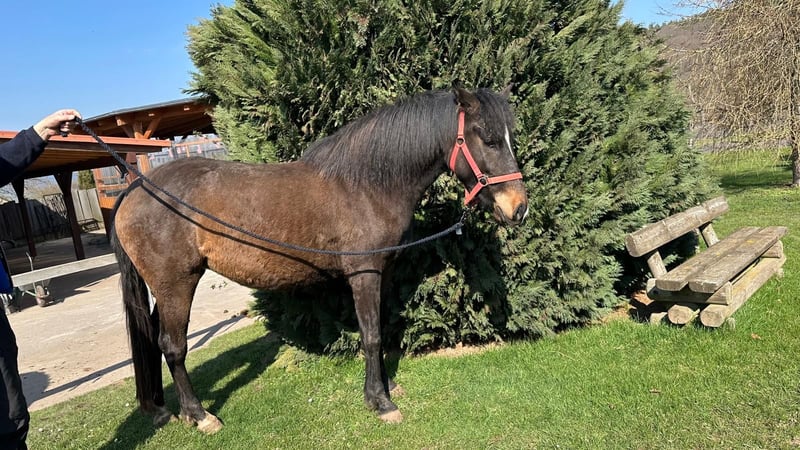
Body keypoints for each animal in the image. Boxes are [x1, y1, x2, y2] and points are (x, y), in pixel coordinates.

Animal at [110, 86, 528, 434]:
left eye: (509, 136)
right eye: (488, 138)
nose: (519, 208)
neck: (367, 185)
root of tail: (135, 187)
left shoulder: (383, 273)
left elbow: (380, 329)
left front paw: (386, 385)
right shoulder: (364, 274)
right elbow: (372, 335)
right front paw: (380, 402)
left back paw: (167, 410)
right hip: (177, 284)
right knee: (173, 346)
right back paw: (199, 415)